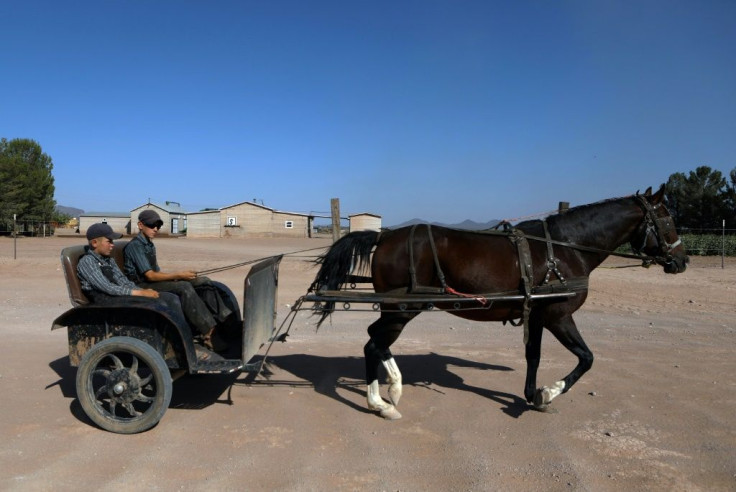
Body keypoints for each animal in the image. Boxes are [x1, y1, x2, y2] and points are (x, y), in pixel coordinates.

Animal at [308, 184, 688, 418]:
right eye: (668, 219)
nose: (682, 261)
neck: (563, 250)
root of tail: (383, 237)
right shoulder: (558, 315)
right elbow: (586, 358)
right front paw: (549, 393)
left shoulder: (536, 316)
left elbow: (533, 356)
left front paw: (533, 395)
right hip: (402, 308)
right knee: (373, 343)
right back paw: (381, 403)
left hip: (396, 309)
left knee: (376, 340)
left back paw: (393, 388)